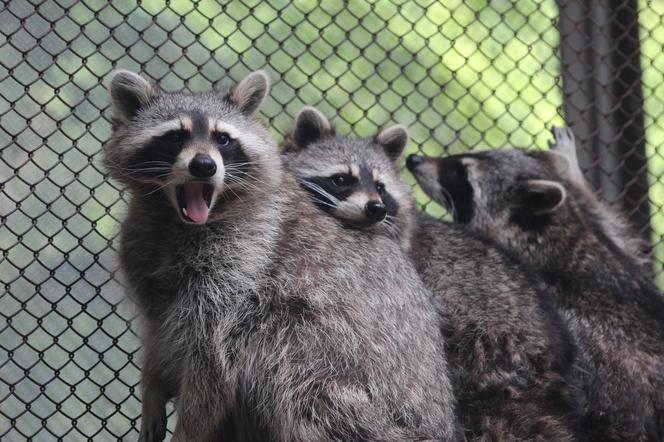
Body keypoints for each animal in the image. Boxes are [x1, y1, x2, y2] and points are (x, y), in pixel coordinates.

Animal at [104, 71, 460, 440]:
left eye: (223, 139)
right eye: (175, 136)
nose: (203, 166)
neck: (173, 218)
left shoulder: (246, 258)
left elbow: (214, 360)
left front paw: (188, 428)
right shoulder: (143, 250)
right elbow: (157, 328)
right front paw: (151, 382)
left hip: (344, 383)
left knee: (281, 350)